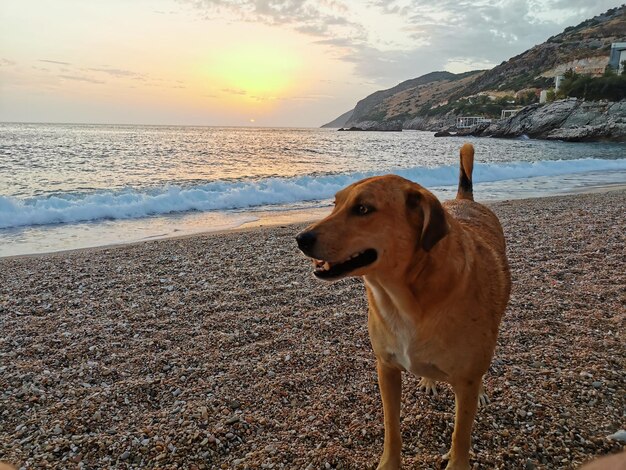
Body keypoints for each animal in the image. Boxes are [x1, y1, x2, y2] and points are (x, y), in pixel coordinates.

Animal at [296, 144, 508, 470]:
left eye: (363, 209)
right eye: (335, 204)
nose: (300, 238)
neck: (404, 300)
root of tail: (465, 200)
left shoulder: (466, 380)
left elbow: (461, 435)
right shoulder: (386, 368)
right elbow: (391, 427)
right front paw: (389, 462)